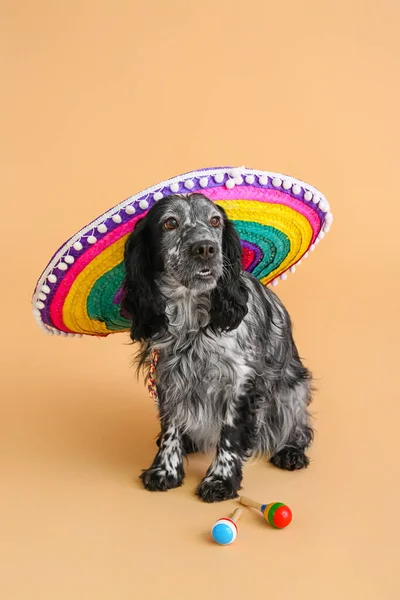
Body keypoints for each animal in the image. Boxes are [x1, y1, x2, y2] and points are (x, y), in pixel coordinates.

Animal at [120, 193, 314, 502]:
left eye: (214, 221)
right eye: (170, 223)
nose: (205, 248)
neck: (191, 318)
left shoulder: (240, 382)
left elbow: (231, 435)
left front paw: (220, 479)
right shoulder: (168, 376)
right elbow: (171, 426)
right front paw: (165, 470)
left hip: (292, 388)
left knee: (300, 427)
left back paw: (291, 451)